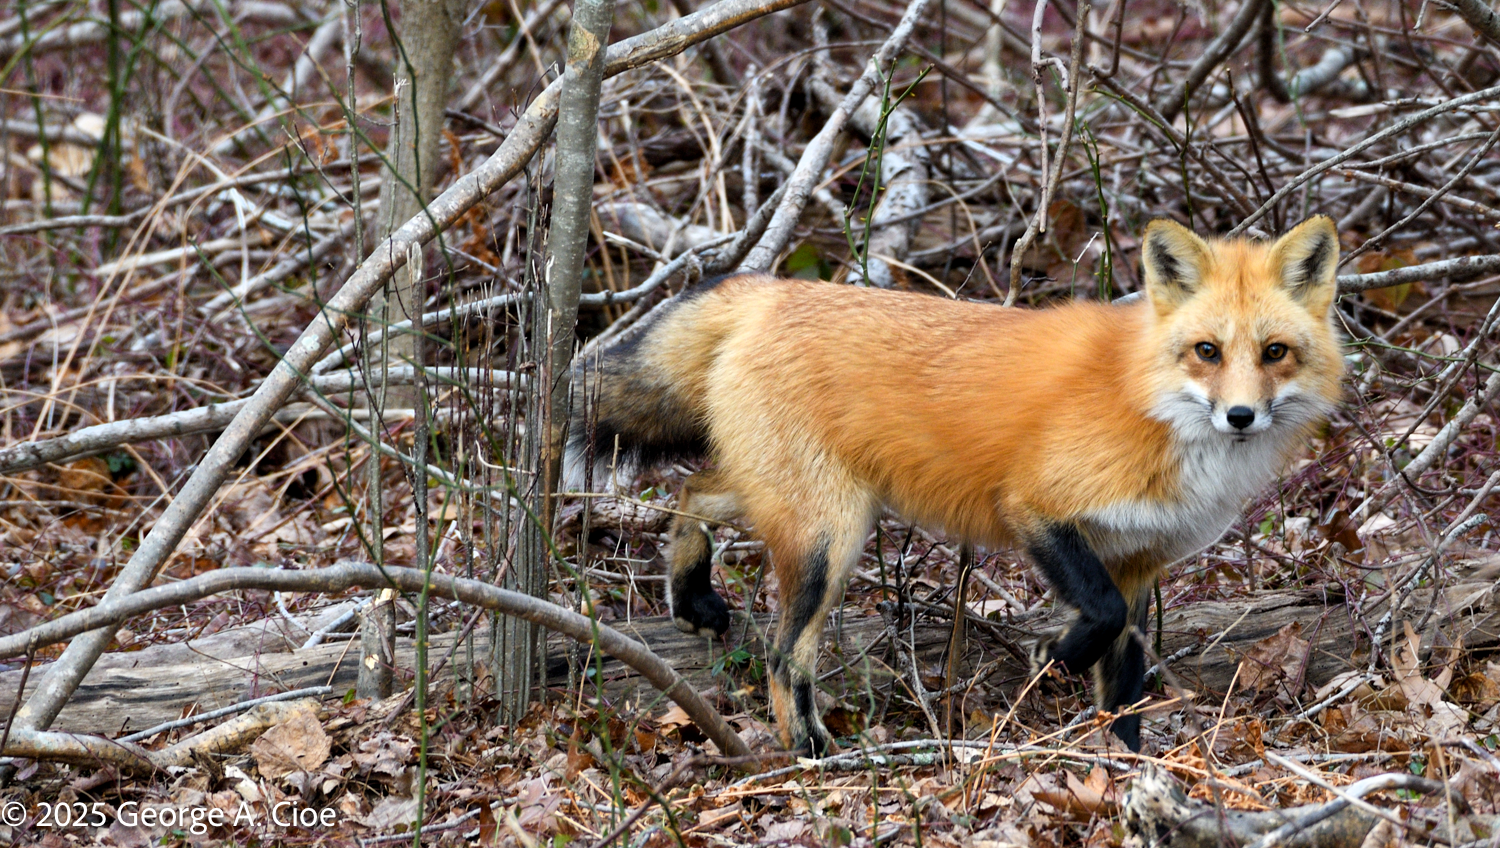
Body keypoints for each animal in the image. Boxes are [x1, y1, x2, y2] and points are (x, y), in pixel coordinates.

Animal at [564, 216, 1345, 754]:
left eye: (1275, 353)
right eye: (1206, 352)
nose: (1240, 416)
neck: (1146, 398)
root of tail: (770, 290)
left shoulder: (1136, 559)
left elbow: (1123, 684)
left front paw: (1130, 769)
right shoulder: (1036, 507)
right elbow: (1098, 618)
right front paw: (1054, 661)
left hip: (805, 501)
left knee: (691, 491)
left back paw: (692, 596)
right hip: (829, 539)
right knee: (785, 659)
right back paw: (810, 754)